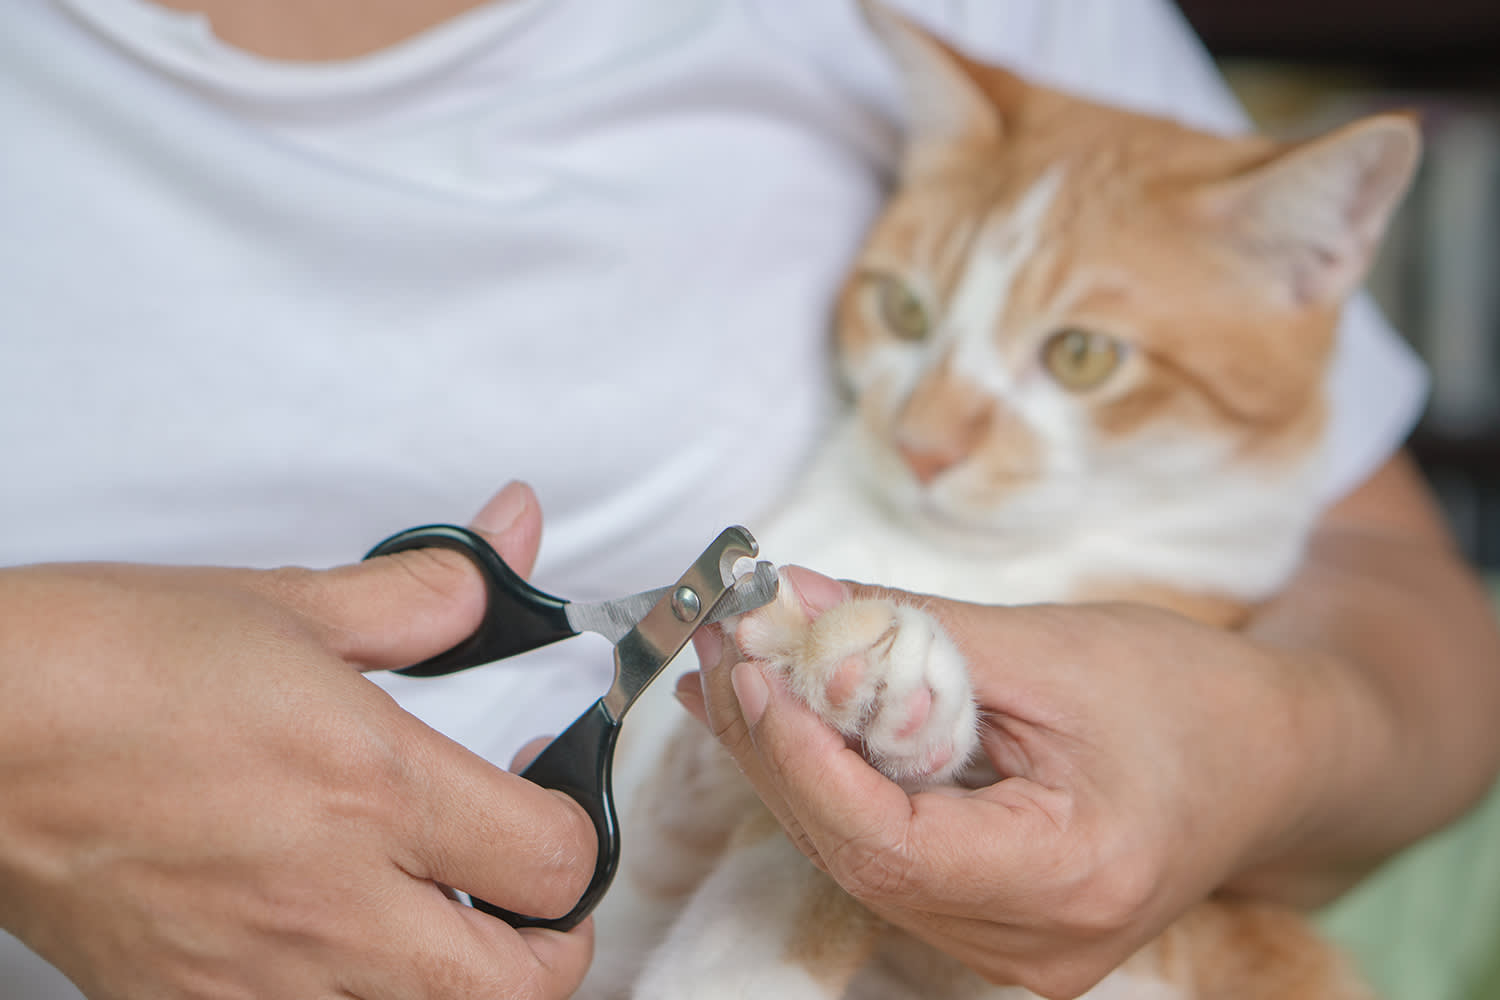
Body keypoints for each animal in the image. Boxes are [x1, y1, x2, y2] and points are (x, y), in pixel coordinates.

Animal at [573, 3, 1416, 995]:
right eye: (904, 310)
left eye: (1082, 356)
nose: (923, 444)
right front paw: (794, 654)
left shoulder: (1210, 936)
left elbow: (796, 876)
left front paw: (867, 681)